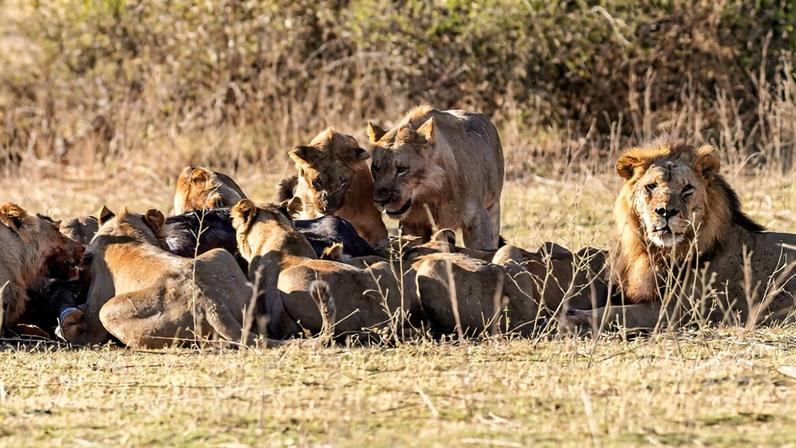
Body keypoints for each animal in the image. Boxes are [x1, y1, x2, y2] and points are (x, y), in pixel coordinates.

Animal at [58, 207, 268, 348]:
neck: (125, 231)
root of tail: (210, 303)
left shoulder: (96, 305)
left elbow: (88, 333)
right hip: (221, 254)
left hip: (108, 311)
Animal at [367, 105, 504, 250]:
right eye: (375, 167)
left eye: (401, 169)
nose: (380, 201)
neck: (431, 193)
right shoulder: (413, 225)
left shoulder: (478, 219)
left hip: (493, 207)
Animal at [564, 138, 796, 331]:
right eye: (651, 186)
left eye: (687, 189)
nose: (666, 211)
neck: (659, 252)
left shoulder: (677, 309)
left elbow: (615, 313)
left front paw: (571, 318)